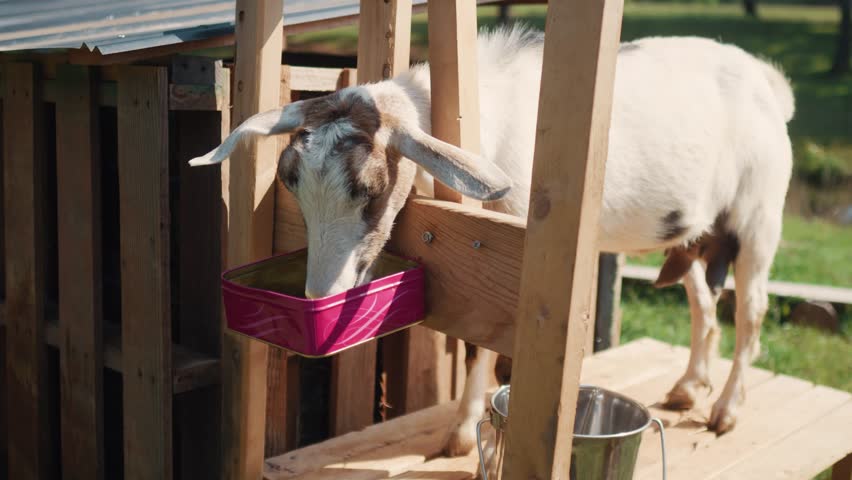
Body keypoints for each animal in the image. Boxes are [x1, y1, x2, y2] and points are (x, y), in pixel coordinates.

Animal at [191, 26, 794, 460]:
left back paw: (725, 411)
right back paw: (689, 387)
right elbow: (471, 343)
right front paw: (464, 429)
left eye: (371, 189)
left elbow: (488, 346)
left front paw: (470, 433)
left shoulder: (517, 258)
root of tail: (768, 81)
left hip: (760, 214)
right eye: (291, 184)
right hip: (698, 229)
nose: (320, 294)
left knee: (753, 311)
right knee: (705, 303)